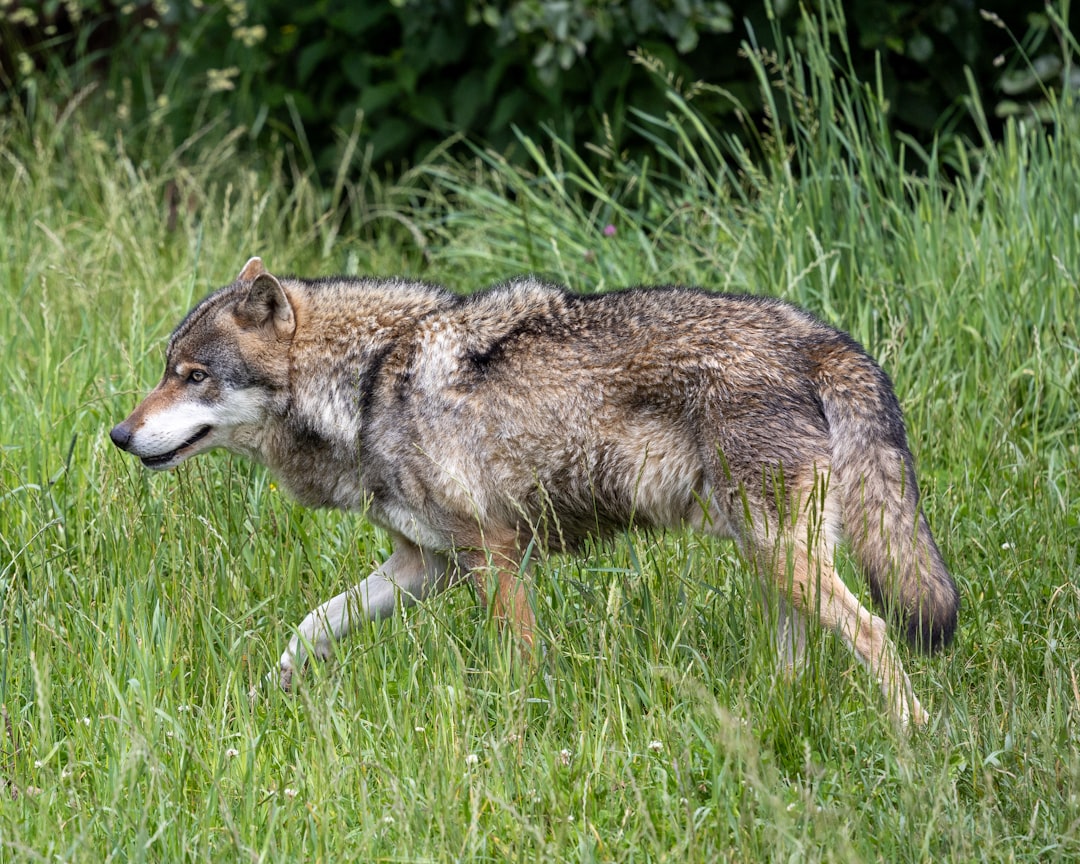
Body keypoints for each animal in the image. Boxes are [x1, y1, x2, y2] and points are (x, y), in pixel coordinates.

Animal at [110, 257, 958, 728]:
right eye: (165, 370)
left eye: (193, 376)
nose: (119, 435)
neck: (369, 383)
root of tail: (817, 337)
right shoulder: (424, 566)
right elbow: (311, 624)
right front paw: (269, 692)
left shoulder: (493, 555)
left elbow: (520, 664)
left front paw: (521, 736)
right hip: (771, 557)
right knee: (802, 654)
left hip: (783, 553)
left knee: (875, 632)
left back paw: (917, 737)